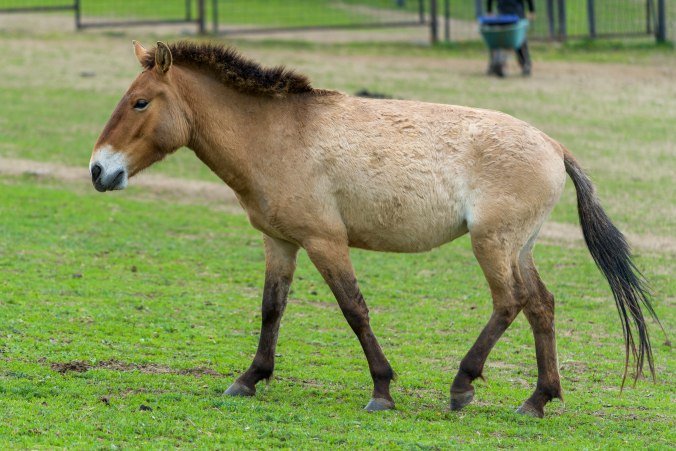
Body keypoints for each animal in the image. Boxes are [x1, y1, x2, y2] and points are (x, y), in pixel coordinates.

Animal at [91, 40, 660, 418]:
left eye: (140, 101)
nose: (99, 170)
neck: (278, 134)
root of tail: (552, 145)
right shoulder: (280, 241)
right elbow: (272, 308)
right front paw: (249, 378)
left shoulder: (325, 242)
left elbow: (353, 310)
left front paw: (382, 390)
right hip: (519, 247)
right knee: (541, 305)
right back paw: (538, 399)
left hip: (492, 245)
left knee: (510, 302)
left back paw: (462, 385)